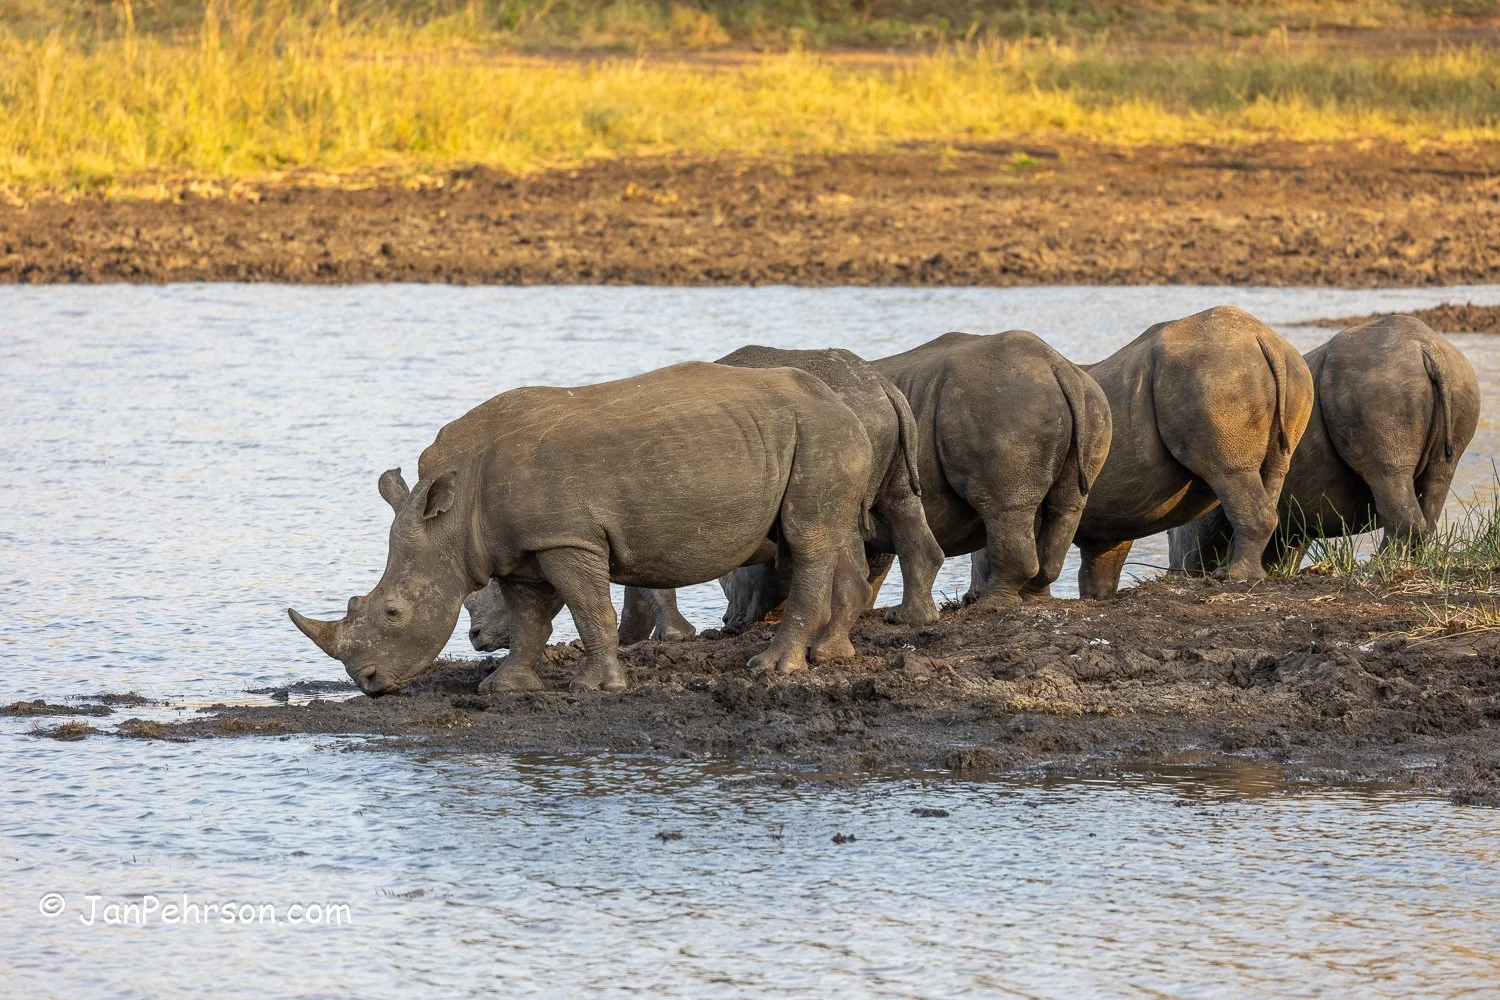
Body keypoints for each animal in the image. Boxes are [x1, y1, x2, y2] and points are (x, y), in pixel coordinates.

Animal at [289, 361, 874, 696]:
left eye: (393, 612)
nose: (367, 683)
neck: (453, 520)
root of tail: (840, 399)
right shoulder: (523, 548)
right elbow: (530, 619)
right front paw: (504, 687)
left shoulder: (567, 538)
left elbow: (589, 608)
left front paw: (598, 687)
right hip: (817, 437)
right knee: (832, 535)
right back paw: (830, 655)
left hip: (819, 434)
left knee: (807, 541)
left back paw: (772, 668)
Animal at [465, 346, 945, 646]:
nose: (478, 639)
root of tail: (882, 384)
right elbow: (638, 583)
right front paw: (631, 640)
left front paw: (673, 638)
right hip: (871, 419)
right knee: (896, 504)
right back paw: (911, 618)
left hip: (844, 425)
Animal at [1043, 305, 1314, 599]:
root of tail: (1263, 339)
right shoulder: (1108, 523)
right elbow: (1099, 564)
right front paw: (1097, 598)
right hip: (1291, 372)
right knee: (1274, 469)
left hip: (1213, 376)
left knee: (1229, 473)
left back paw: (1232, 576)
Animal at [1167, 314, 1480, 572]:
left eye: (1172, 536)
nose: (1174, 572)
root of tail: (1428, 349)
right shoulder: (1296, 519)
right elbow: (1284, 549)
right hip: (1459, 379)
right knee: (1439, 476)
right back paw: (1406, 564)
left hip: (1380, 385)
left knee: (1387, 473)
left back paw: (1376, 567)